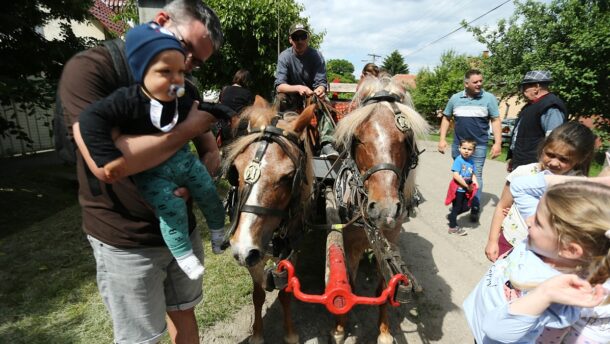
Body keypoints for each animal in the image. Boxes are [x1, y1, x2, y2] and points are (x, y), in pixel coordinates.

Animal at [222, 97, 314, 344]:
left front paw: (290, 333)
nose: (242, 249)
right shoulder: (254, 255)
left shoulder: (292, 251)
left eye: (289, 177)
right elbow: (258, 294)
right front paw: (257, 334)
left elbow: (285, 293)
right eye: (235, 171)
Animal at [332, 76, 428, 344]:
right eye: (357, 138)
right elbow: (349, 284)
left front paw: (384, 331)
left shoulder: (390, 242)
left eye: (405, 140)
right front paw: (341, 326)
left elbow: (384, 286)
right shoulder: (351, 244)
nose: (385, 209)